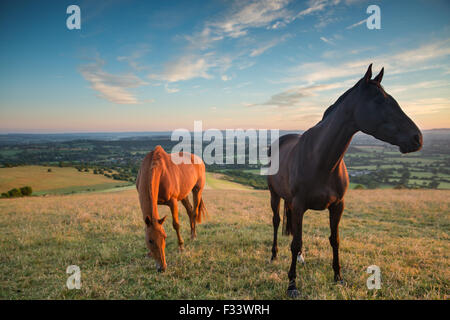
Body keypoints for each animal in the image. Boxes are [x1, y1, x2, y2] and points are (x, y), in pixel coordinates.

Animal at [268, 65, 424, 298]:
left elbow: (335, 240)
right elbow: (295, 243)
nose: (417, 138)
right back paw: (274, 255)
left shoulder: (337, 206)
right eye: (380, 101)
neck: (321, 160)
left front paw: (338, 277)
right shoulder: (299, 205)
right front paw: (292, 285)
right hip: (275, 195)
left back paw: (301, 258)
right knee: (277, 222)